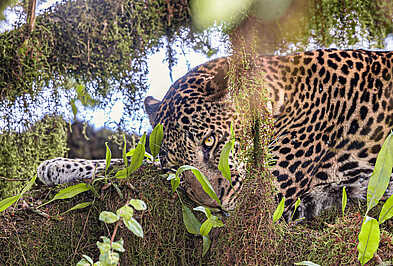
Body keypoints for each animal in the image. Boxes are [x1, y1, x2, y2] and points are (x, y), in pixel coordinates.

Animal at [37, 48, 392, 221]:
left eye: (210, 142)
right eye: (175, 168)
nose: (214, 204)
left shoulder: (265, 196)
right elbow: (135, 162)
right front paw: (58, 166)